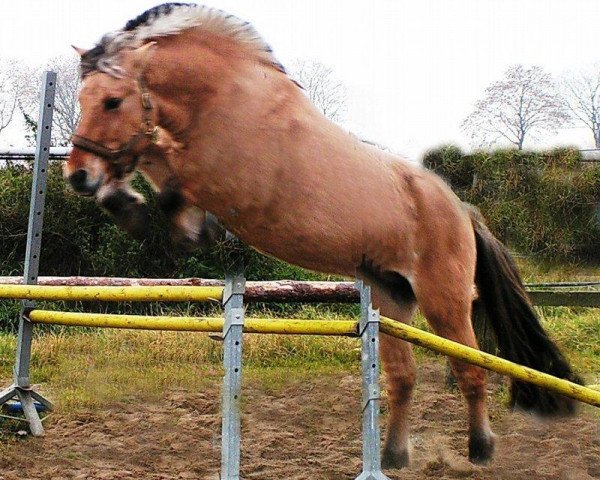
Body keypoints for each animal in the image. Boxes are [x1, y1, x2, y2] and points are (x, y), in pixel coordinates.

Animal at [64, 3, 580, 468]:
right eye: (82, 101)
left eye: (112, 101)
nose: (78, 177)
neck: (223, 99)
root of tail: (462, 210)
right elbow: (152, 159)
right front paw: (133, 206)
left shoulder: (225, 180)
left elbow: (168, 171)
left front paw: (171, 221)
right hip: (392, 295)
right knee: (404, 377)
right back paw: (393, 456)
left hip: (444, 300)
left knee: (470, 368)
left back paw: (479, 449)